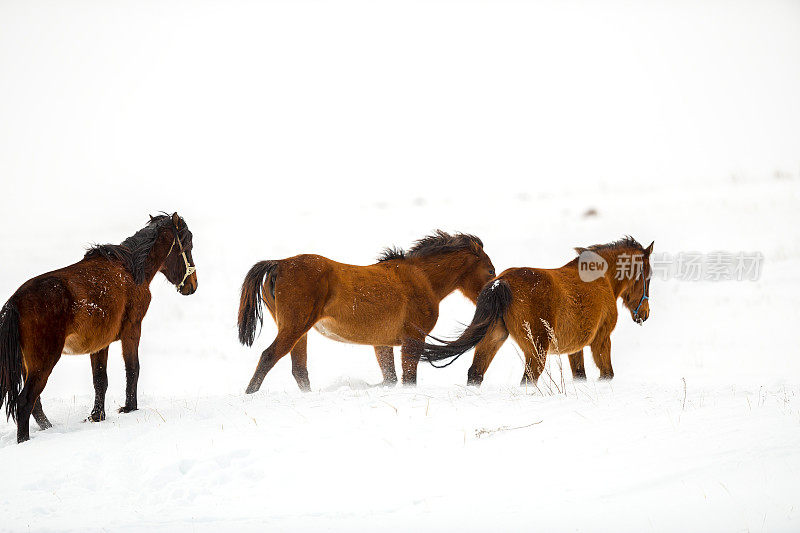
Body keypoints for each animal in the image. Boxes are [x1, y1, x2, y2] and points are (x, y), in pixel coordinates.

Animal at [0, 212, 198, 440]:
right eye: (188, 245)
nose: (193, 285)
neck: (130, 270)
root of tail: (15, 301)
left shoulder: (100, 344)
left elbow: (100, 380)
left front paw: (97, 415)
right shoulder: (132, 330)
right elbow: (133, 368)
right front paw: (130, 408)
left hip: (29, 365)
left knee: (36, 405)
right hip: (44, 361)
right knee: (25, 403)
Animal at [239, 231, 494, 392]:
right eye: (490, 271)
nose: (492, 295)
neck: (422, 279)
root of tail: (279, 264)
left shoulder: (382, 343)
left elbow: (391, 379)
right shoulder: (414, 339)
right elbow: (408, 378)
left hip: (299, 331)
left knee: (299, 370)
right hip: (294, 327)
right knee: (269, 357)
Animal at [410, 238, 652, 386]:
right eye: (648, 277)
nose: (645, 314)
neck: (601, 280)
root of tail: (502, 282)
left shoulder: (574, 349)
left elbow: (580, 375)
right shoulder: (601, 340)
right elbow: (607, 374)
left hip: (495, 337)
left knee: (476, 373)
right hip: (536, 351)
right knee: (527, 378)